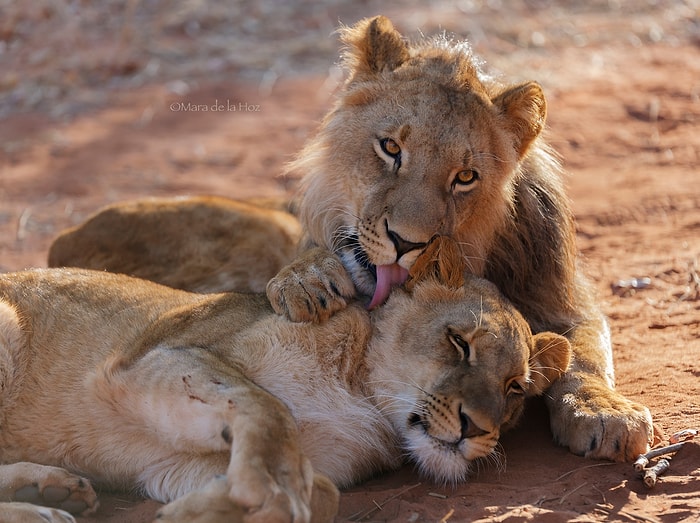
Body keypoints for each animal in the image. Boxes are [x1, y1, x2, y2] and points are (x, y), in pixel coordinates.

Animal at [0, 239, 568, 520]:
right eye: (459, 342)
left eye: (515, 389)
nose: (479, 429)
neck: (359, 391)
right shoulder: (155, 357)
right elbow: (268, 408)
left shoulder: (167, 465)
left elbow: (319, 489)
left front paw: (205, 511)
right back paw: (46, 509)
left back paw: (54, 490)